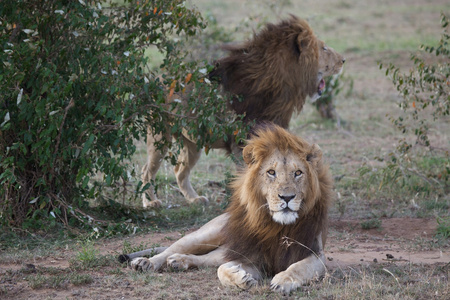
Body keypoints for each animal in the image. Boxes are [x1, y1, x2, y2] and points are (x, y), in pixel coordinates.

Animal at [125, 125, 332, 296]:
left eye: (298, 173)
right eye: (271, 172)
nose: (287, 197)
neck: (277, 226)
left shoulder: (315, 254)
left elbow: (298, 268)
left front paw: (282, 280)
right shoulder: (253, 257)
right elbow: (222, 270)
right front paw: (241, 278)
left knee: (204, 259)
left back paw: (178, 261)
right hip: (207, 235)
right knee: (174, 248)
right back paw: (146, 262)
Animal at [142, 14, 344, 206]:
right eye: (324, 48)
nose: (343, 60)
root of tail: (154, 80)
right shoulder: (241, 142)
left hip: (192, 143)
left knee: (179, 170)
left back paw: (194, 199)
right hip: (160, 136)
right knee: (147, 171)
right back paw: (151, 202)